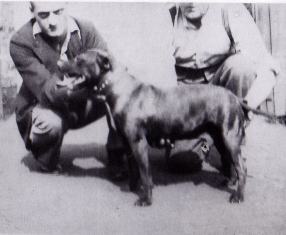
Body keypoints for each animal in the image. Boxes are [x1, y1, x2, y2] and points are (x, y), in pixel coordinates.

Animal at [57, 49, 248, 206]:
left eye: (79, 59)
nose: (59, 63)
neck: (119, 88)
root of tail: (235, 97)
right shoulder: (129, 144)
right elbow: (134, 170)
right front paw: (133, 188)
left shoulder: (139, 143)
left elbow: (145, 173)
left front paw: (146, 199)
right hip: (220, 137)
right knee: (230, 161)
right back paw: (229, 182)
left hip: (229, 138)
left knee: (241, 167)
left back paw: (238, 195)